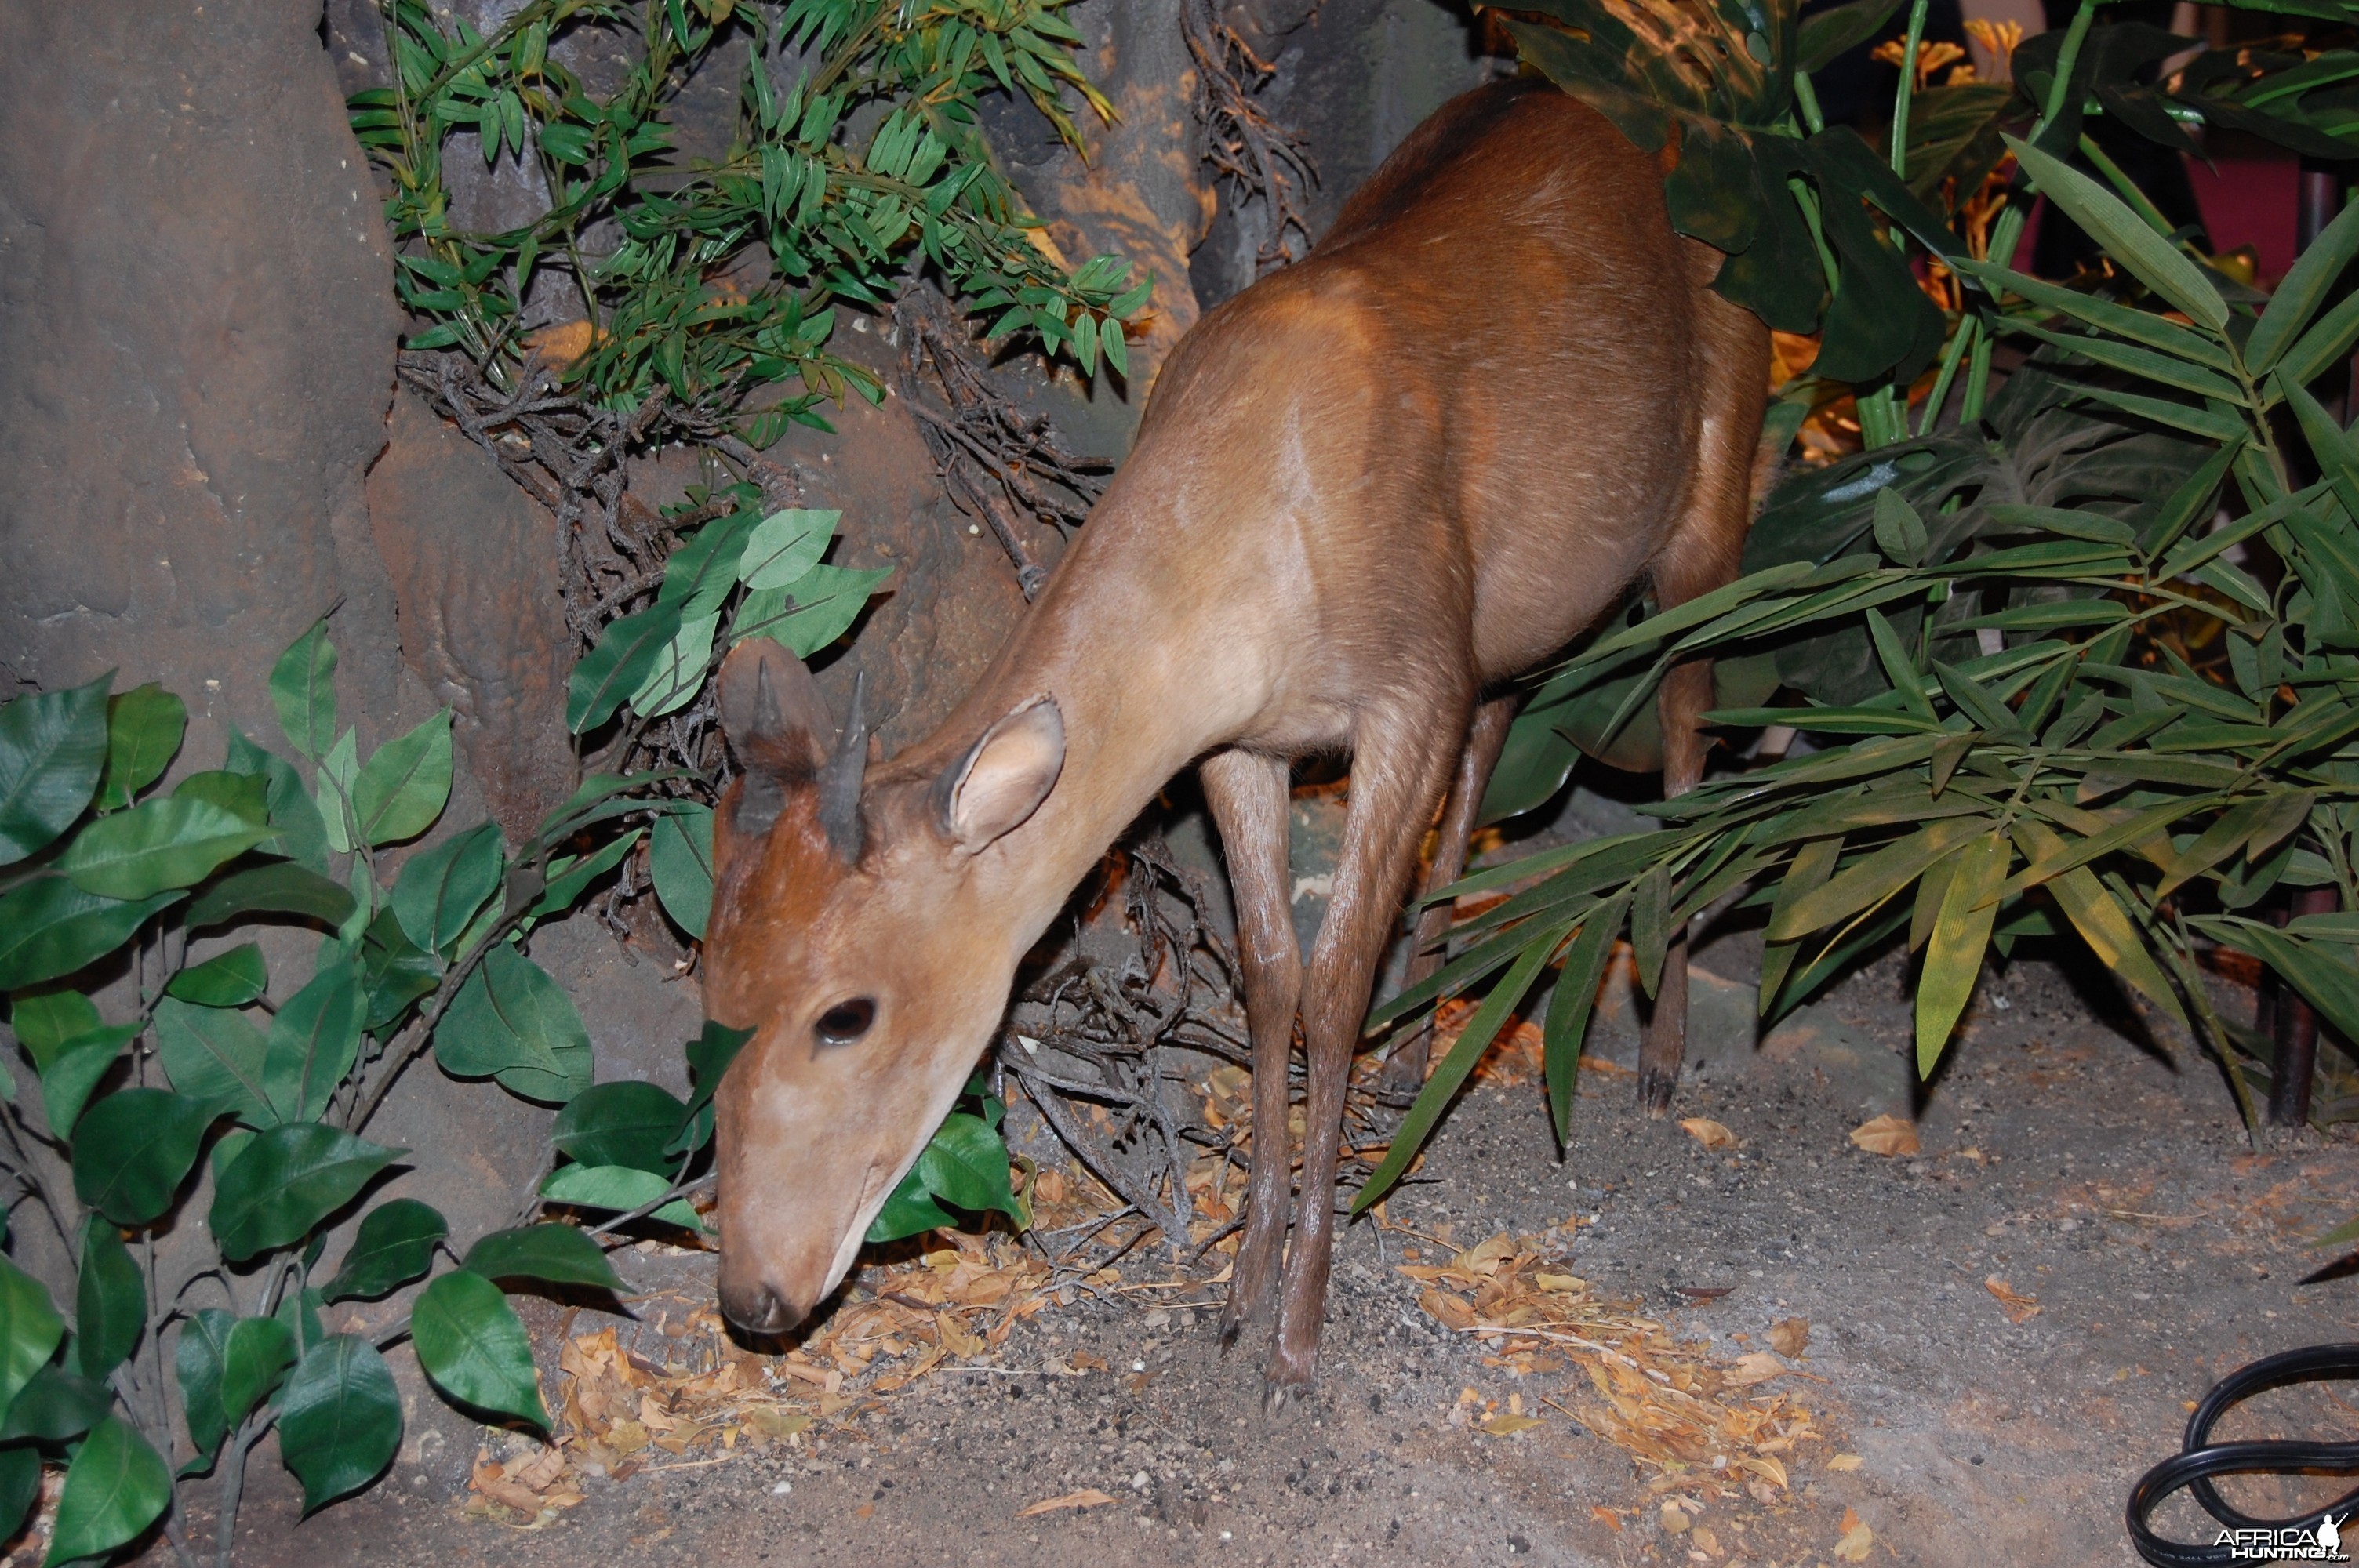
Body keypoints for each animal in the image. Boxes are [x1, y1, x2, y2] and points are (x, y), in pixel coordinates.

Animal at [698, 76, 1774, 1396]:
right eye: (708, 986)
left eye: (845, 1013)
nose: (754, 1294)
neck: (1260, 531)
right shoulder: (1246, 743)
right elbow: (1269, 976)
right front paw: (1238, 1290)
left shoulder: (1407, 682)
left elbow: (1334, 979)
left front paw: (1303, 1323)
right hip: (1521, 619)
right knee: (1502, 739)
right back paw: (1420, 1055)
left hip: (1708, 507)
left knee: (1688, 724)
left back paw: (1662, 1055)